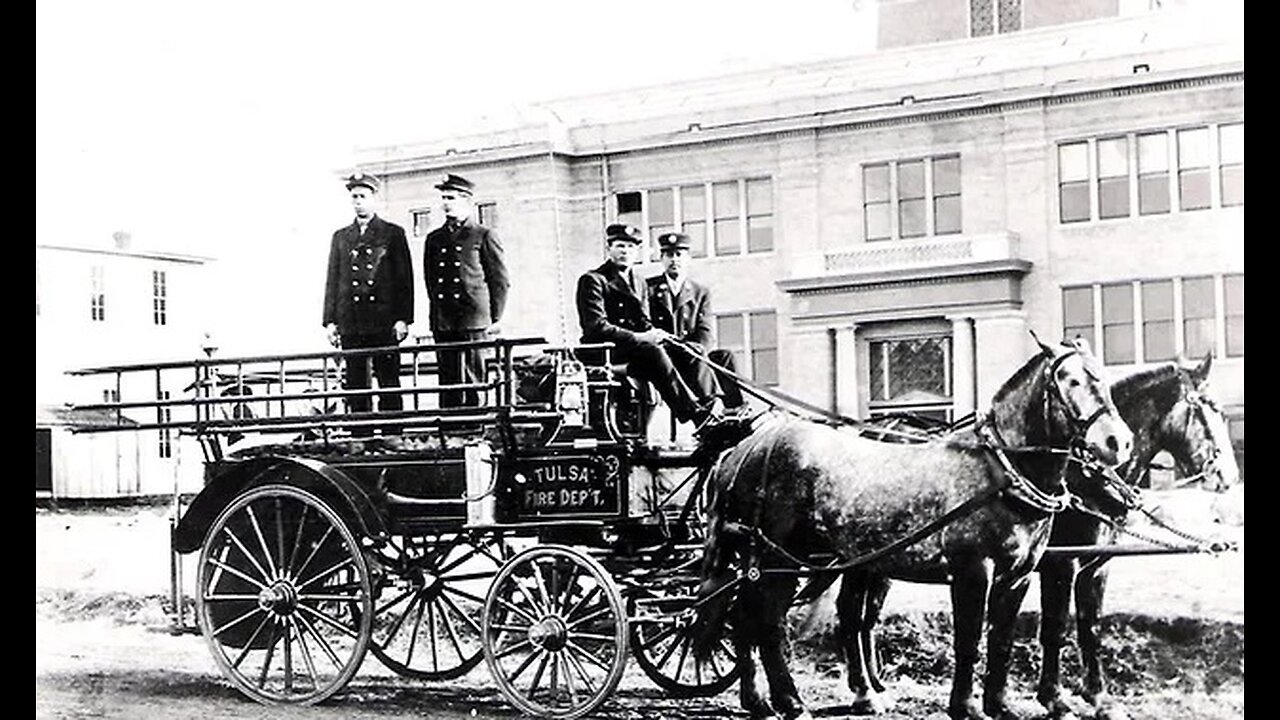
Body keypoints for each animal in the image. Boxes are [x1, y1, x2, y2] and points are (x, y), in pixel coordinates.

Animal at [691, 338, 1131, 717]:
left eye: (1101, 376)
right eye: (1069, 380)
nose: (1118, 442)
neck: (1001, 468)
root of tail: (743, 449)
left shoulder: (1019, 576)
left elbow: (1004, 638)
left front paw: (1000, 706)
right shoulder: (976, 571)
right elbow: (970, 639)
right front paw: (966, 707)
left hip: (784, 561)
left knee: (749, 618)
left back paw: (763, 700)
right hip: (778, 559)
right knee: (768, 622)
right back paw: (793, 702)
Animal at [1034, 353, 1244, 717]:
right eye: (1209, 408)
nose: (1228, 477)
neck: (1085, 474)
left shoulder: (1096, 566)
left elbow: (1090, 626)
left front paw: (1097, 696)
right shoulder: (1060, 564)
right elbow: (1055, 628)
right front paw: (1053, 699)